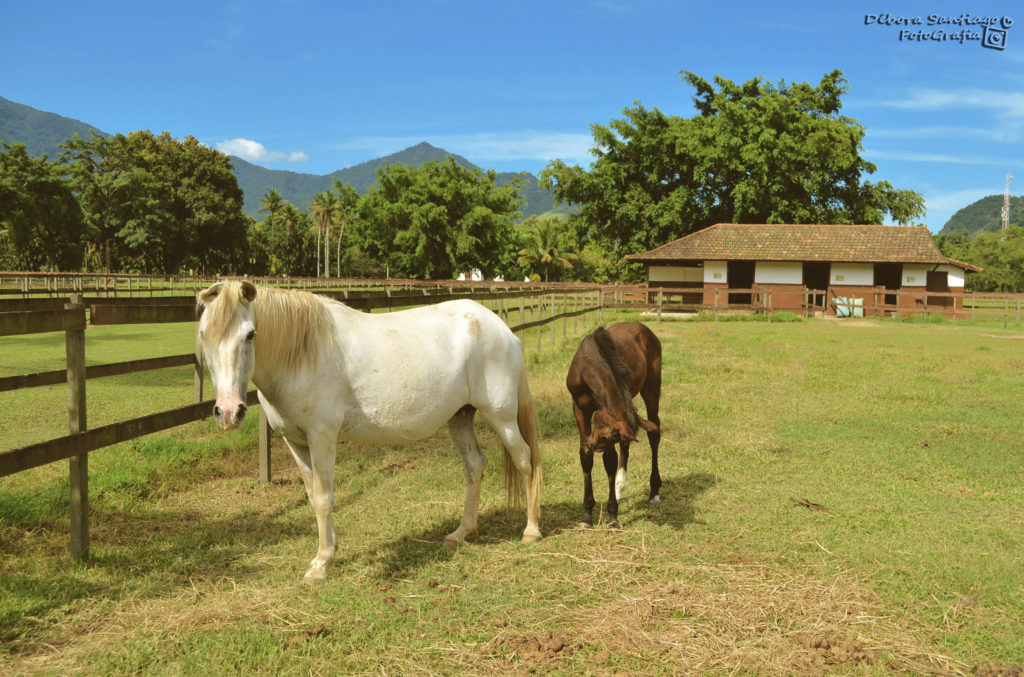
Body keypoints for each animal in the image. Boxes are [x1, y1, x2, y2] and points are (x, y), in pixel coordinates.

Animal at [193, 280, 544, 581]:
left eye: (250, 334)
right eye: (204, 335)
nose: (229, 412)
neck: (303, 353)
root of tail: (500, 327)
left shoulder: (322, 437)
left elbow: (324, 498)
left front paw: (321, 565)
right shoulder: (295, 442)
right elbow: (313, 497)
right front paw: (328, 552)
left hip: (502, 417)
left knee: (525, 460)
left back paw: (531, 530)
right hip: (460, 416)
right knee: (475, 465)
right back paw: (462, 533)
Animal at [565, 321, 659, 528]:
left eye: (606, 437)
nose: (595, 445)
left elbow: (610, 460)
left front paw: (613, 517)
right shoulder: (579, 409)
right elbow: (585, 455)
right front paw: (586, 516)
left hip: (652, 387)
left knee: (654, 433)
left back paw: (654, 492)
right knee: (627, 445)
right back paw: (619, 488)